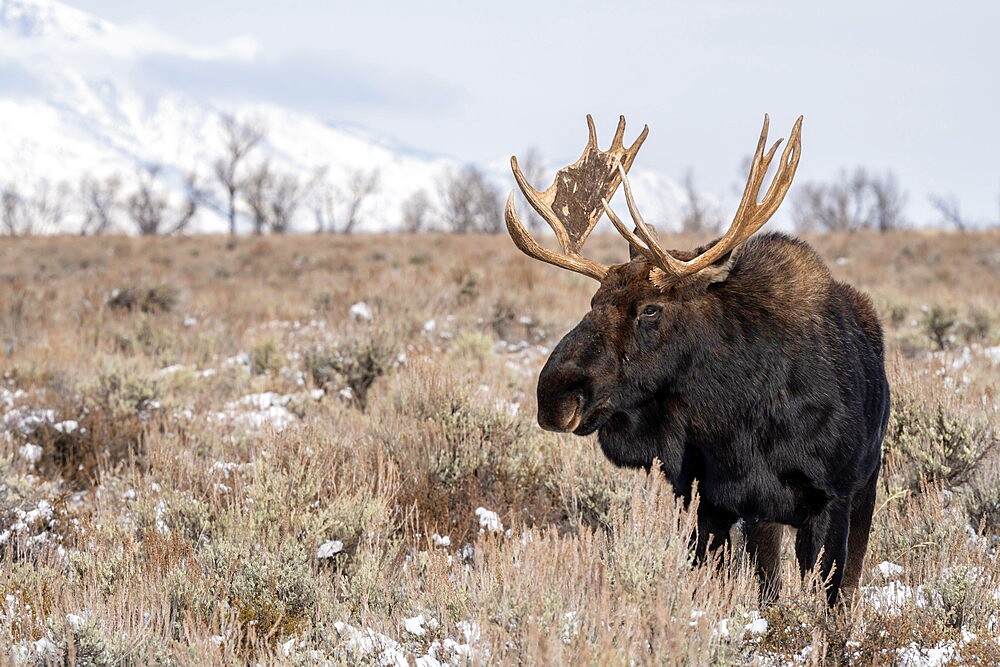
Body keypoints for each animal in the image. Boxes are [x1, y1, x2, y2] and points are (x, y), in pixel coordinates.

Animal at [508, 115, 892, 604]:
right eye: (593, 301)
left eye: (650, 309)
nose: (554, 395)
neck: (738, 415)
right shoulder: (717, 501)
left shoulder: (832, 498)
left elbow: (829, 596)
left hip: (864, 485)